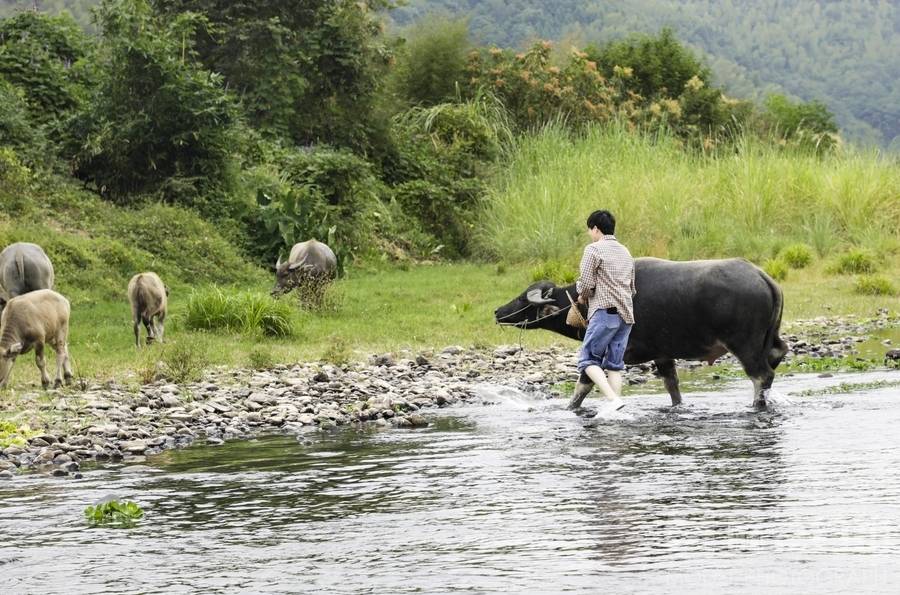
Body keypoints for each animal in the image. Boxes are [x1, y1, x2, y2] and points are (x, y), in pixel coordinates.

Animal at [492, 258, 788, 412]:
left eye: (523, 300)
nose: (497, 311)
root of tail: (763, 278)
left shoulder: (612, 352)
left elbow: (584, 382)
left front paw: (571, 408)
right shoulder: (663, 355)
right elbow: (672, 387)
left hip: (744, 345)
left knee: (761, 375)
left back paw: (756, 405)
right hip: (770, 339)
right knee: (778, 355)